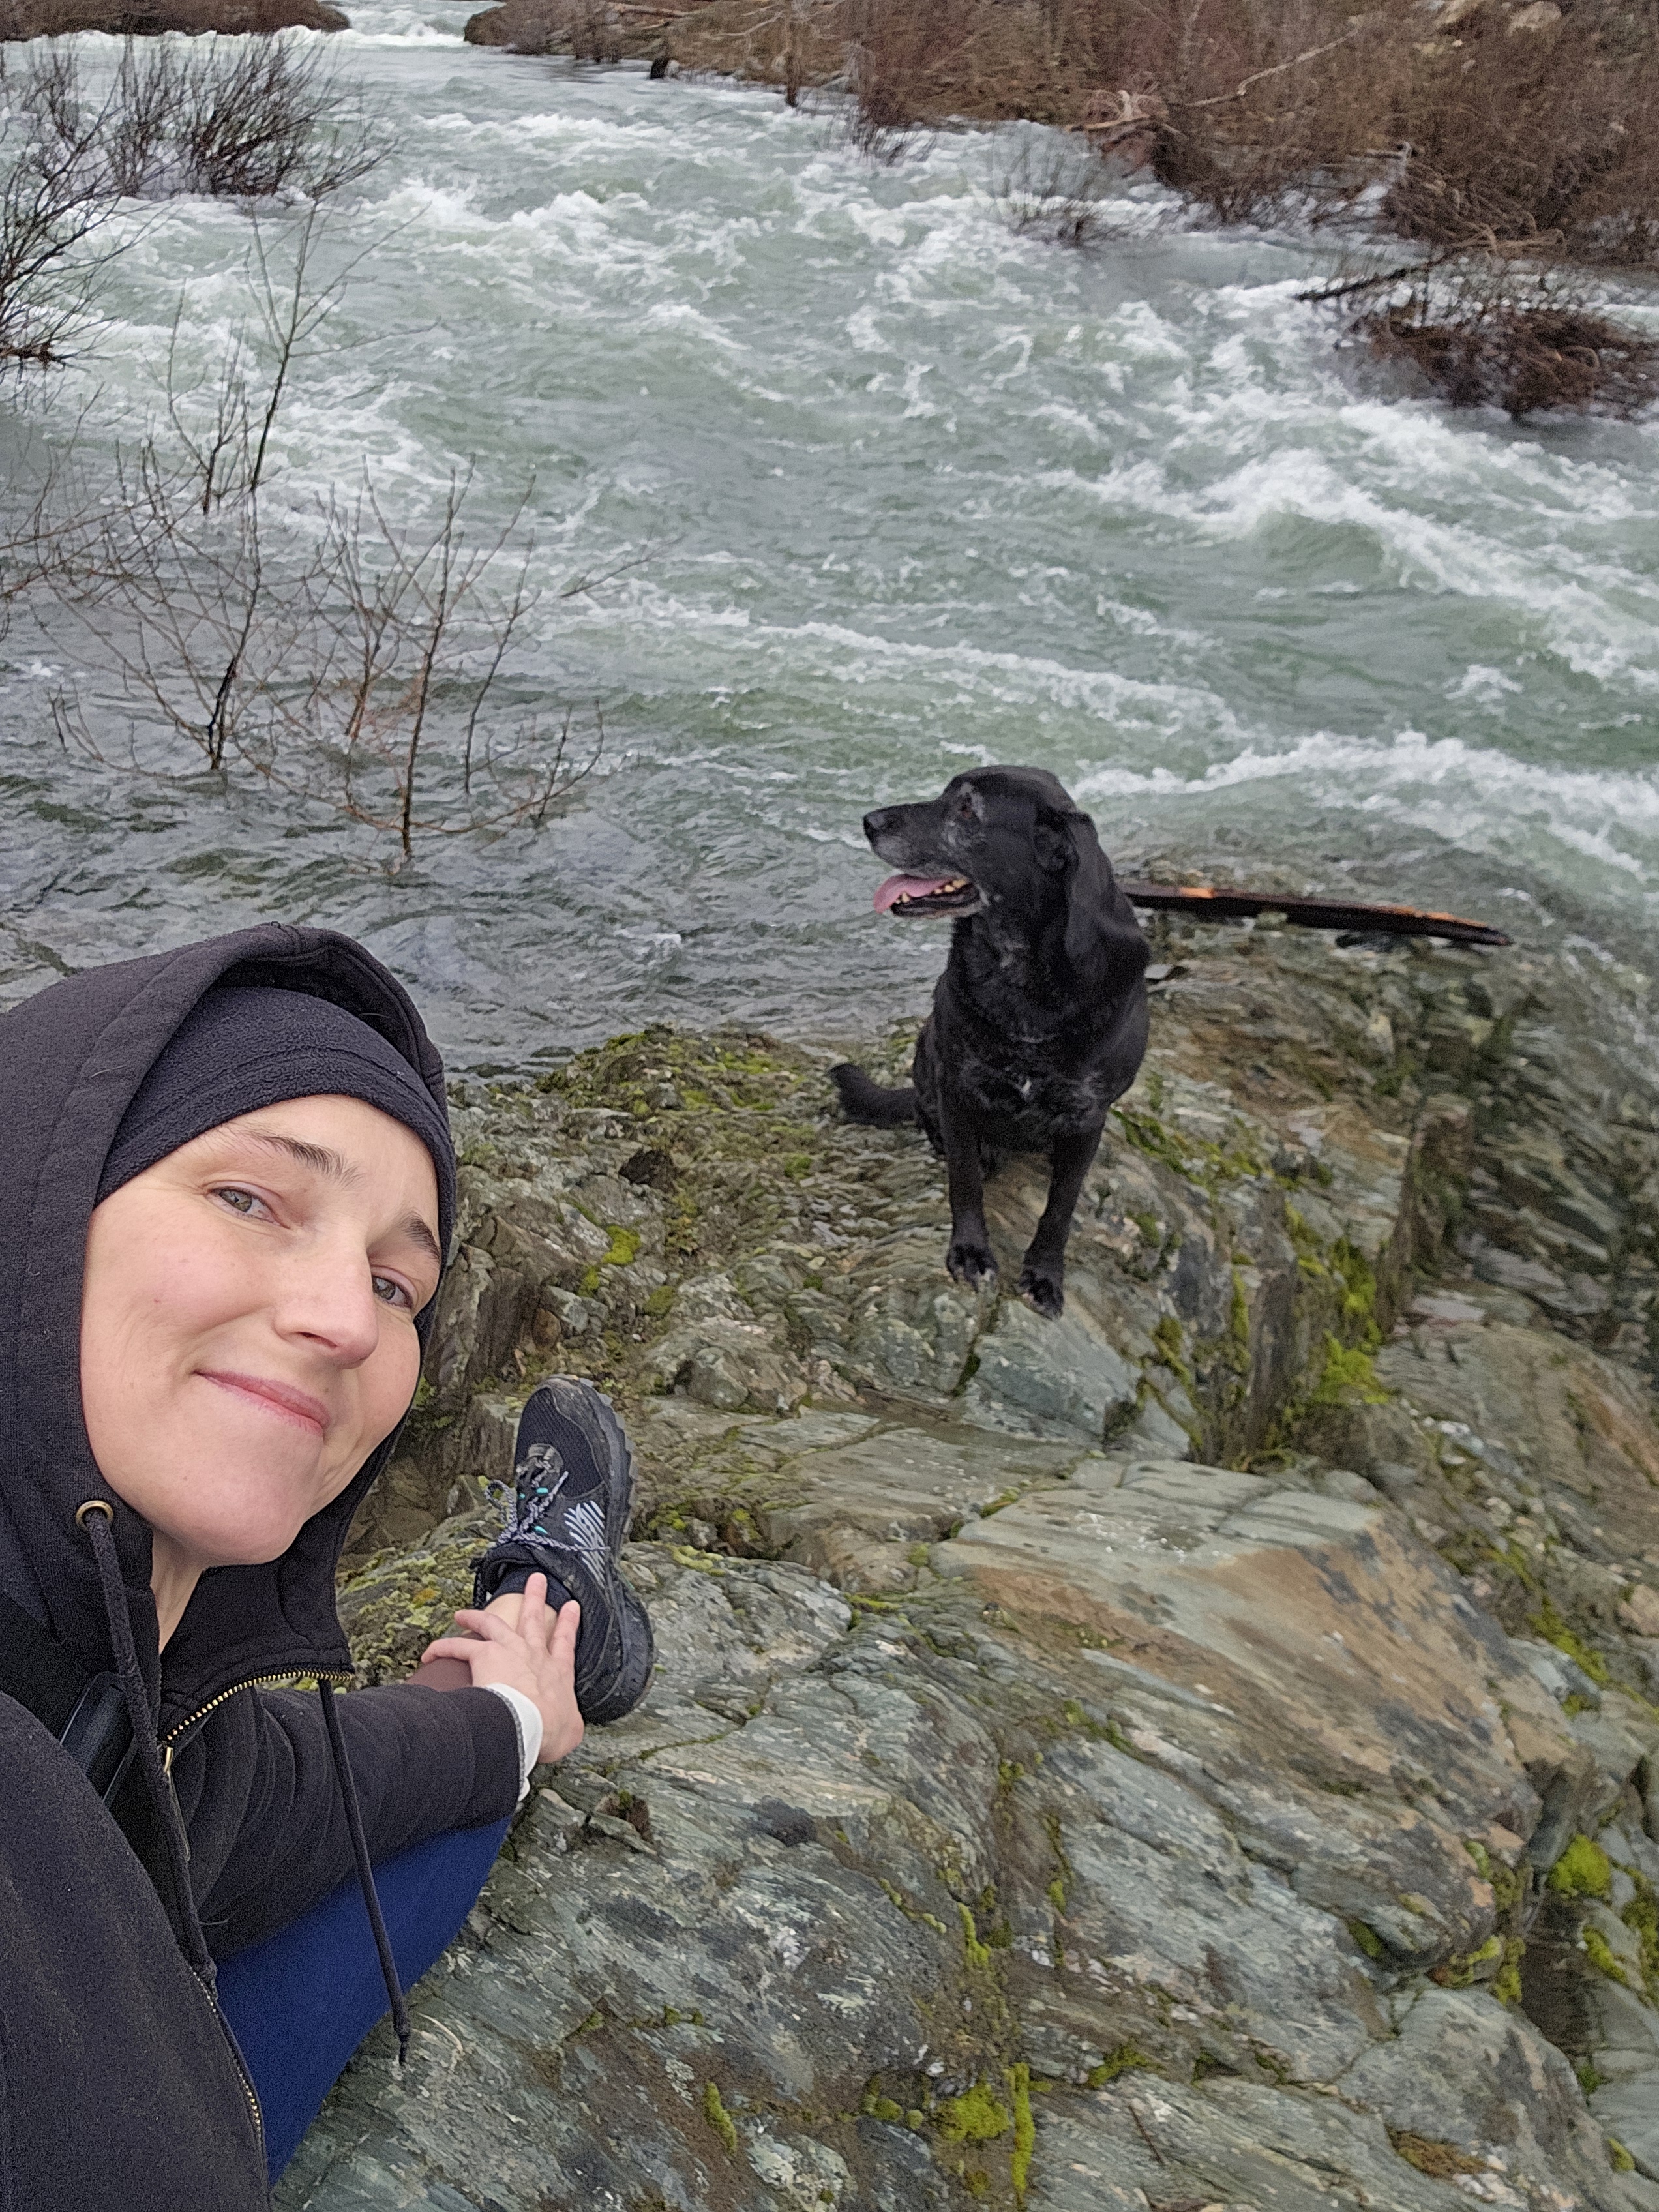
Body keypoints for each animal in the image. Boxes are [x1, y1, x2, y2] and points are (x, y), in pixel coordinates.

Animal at [830, 765, 1149, 1317]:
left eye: (966, 809)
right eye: (944, 794)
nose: (869, 821)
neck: (1023, 982)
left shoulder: (1087, 1116)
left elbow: (1061, 1208)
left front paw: (1044, 1275)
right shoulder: (959, 1089)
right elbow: (965, 1182)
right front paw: (970, 1252)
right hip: (927, 1051)